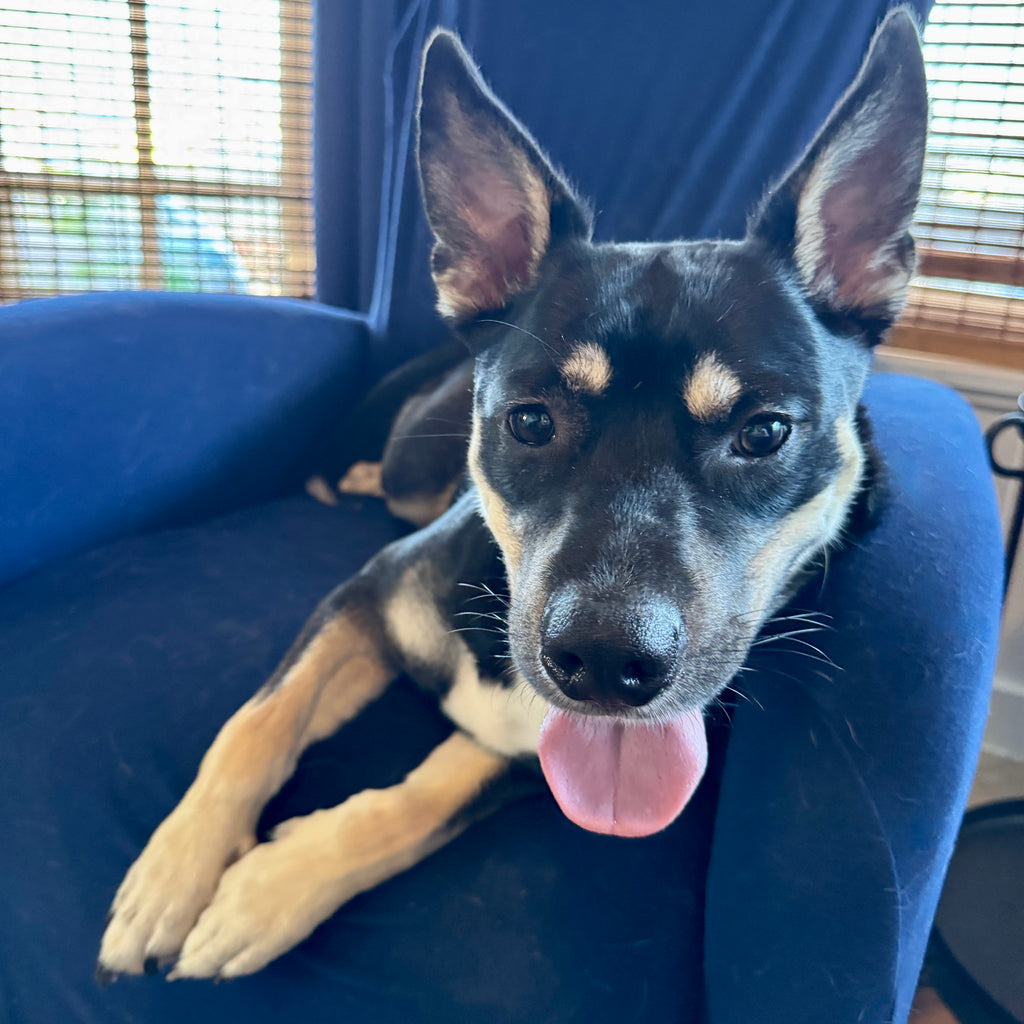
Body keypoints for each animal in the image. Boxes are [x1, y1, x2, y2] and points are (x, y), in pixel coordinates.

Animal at [98, 10, 927, 982]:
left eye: (763, 434)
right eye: (530, 421)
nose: (606, 662)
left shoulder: (531, 756)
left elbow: (423, 797)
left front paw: (269, 890)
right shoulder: (364, 597)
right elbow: (256, 724)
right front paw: (173, 876)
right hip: (414, 475)